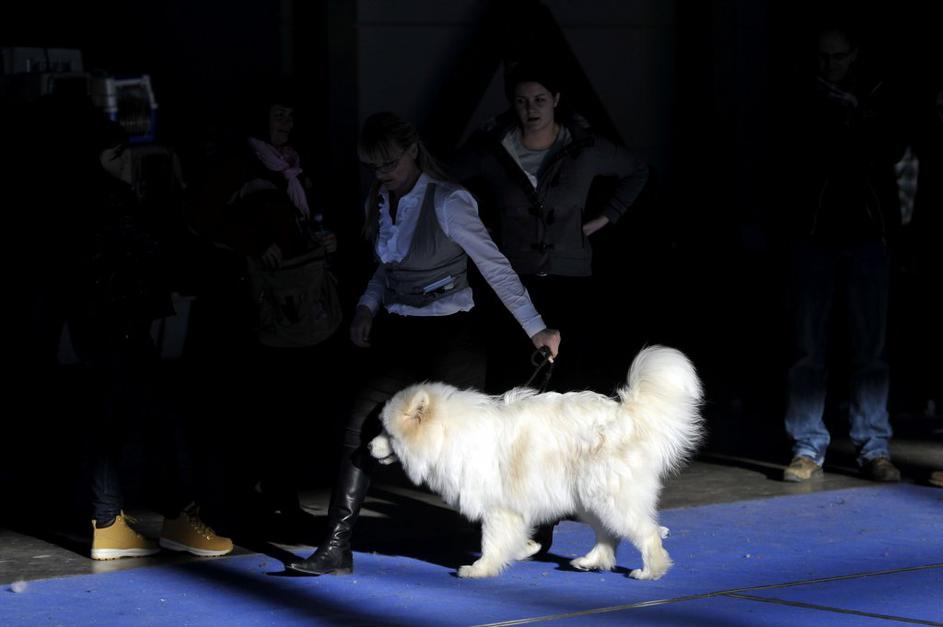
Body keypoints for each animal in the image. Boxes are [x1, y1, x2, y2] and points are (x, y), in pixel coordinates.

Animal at [368, 345, 703, 580]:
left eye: (387, 432)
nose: (369, 446)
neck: (447, 432)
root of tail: (627, 417)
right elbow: (512, 537)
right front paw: (525, 549)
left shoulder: (497, 508)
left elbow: (492, 542)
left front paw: (480, 569)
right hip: (588, 498)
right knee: (608, 535)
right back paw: (591, 561)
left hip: (609, 497)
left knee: (645, 532)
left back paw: (651, 570)